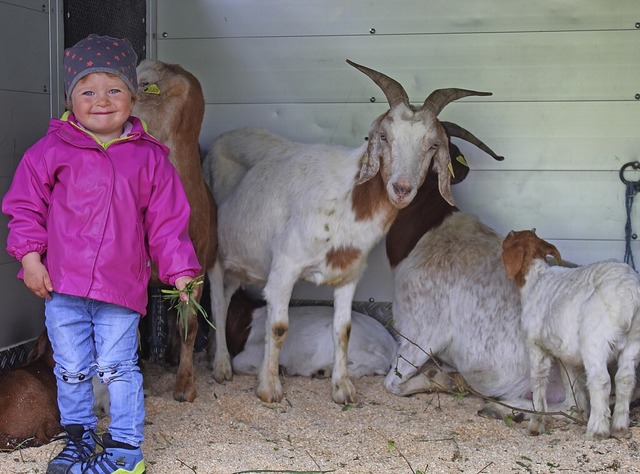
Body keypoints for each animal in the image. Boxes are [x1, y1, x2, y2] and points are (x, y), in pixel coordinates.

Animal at [205, 57, 496, 402]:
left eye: (433, 145)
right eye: (383, 137)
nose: (401, 189)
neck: (345, 200)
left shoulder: (349, 275)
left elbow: (343, 330)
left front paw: (342, 390)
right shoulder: (284, 268)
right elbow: (278, 327)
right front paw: (269, 388)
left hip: (241, 264)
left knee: (227, 294)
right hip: (214, 248)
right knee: (217, 299)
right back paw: (221, 368)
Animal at [502, 228, 640, 438]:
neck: (535, 279)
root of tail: (629, 292)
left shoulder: (535, 345)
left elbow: (538, 381)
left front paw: (536, 425)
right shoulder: (566, 354)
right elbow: (572, 382)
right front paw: (577, 412)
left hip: (594, 338)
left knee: (601, 380)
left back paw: (597, 430)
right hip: (634, 340)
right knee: (625, 379)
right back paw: (620, 429)